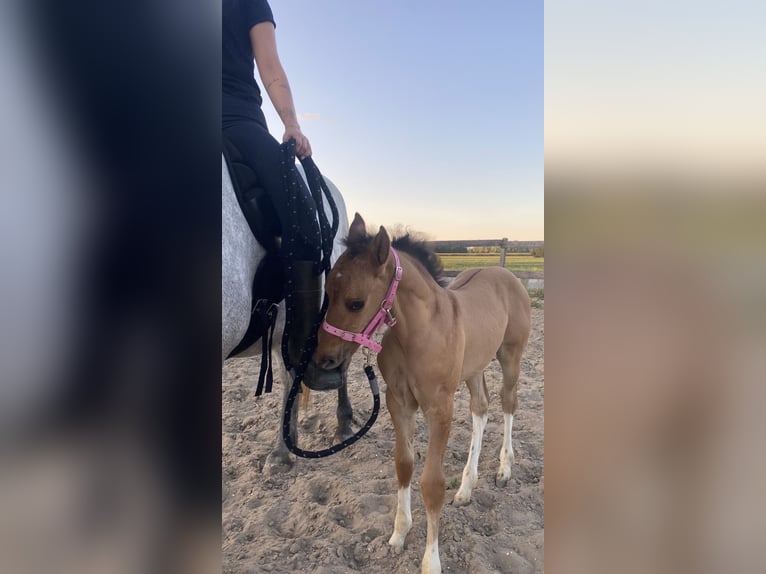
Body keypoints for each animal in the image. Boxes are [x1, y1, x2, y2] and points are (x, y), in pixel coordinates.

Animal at [312, 213, 532, 574]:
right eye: (327, 292)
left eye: (356, 303)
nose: (323, 359)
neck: (417, 331)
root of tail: (505, 274)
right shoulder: (398, 403)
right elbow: (404, 464)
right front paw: (399, 534)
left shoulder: (439, 408)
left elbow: (432, 483)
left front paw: (431, 560)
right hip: (474, 367)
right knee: (481, 408)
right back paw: (467, 488)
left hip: (510, 356)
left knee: (508, 402)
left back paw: (504, 470)